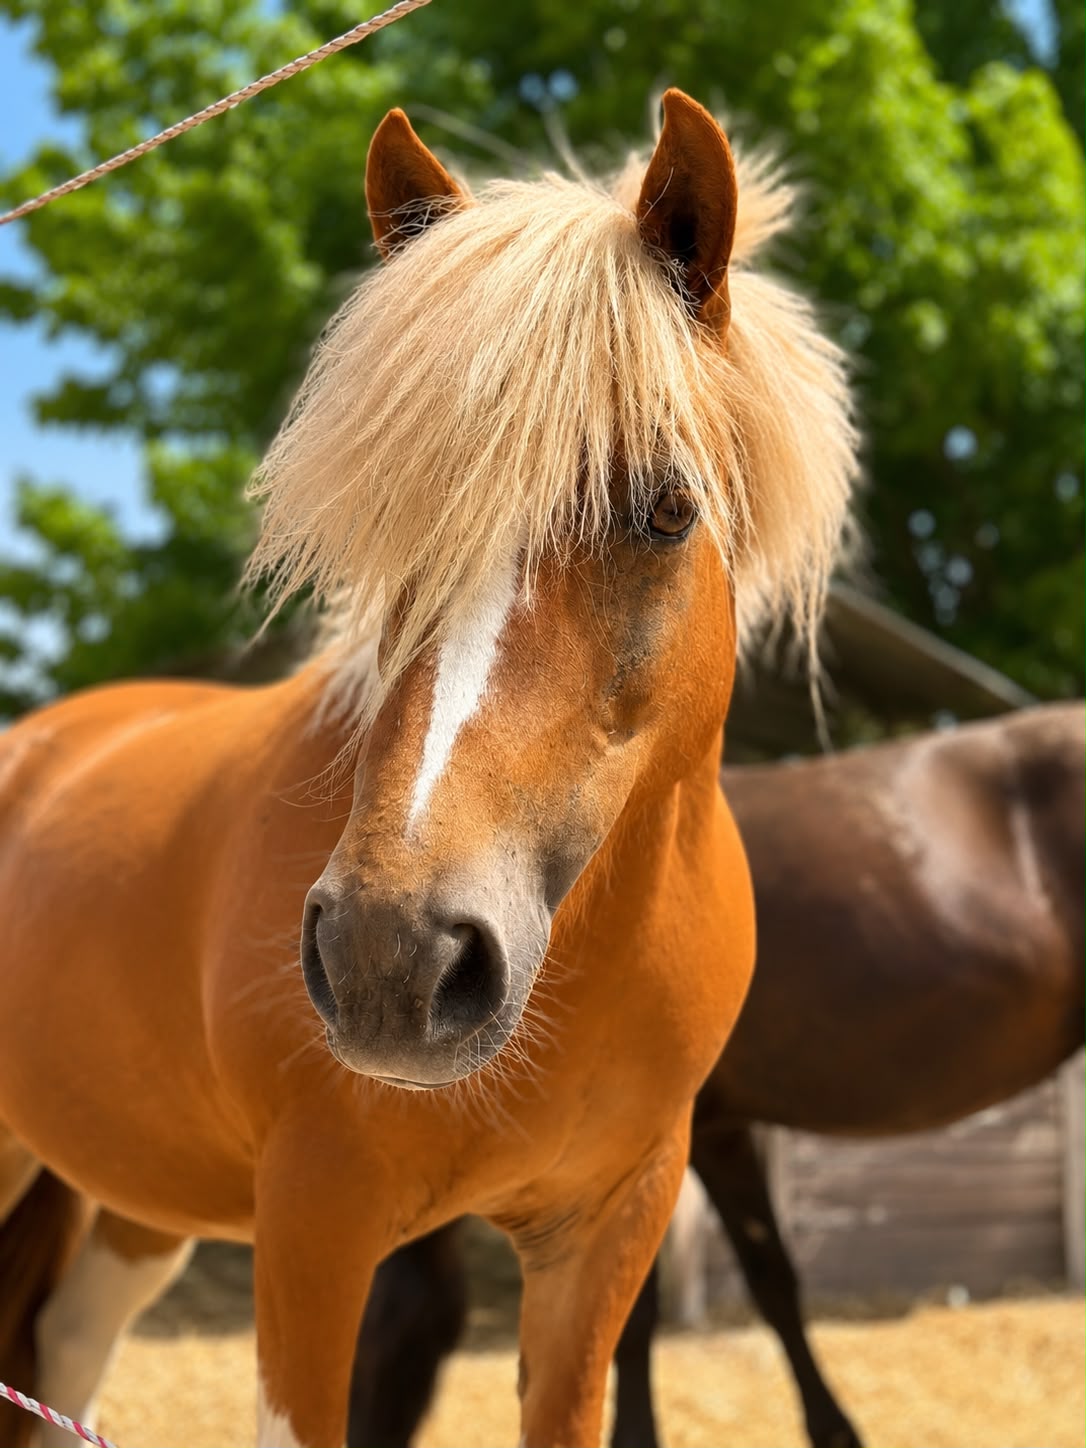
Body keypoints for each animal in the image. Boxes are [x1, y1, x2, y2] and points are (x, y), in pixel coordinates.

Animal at [0, 91, 857, 1448]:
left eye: (669, 509)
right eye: (388, 523)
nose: (391, 958)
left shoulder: (607, 1234)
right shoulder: (314, 1225)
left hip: (130, 1205)